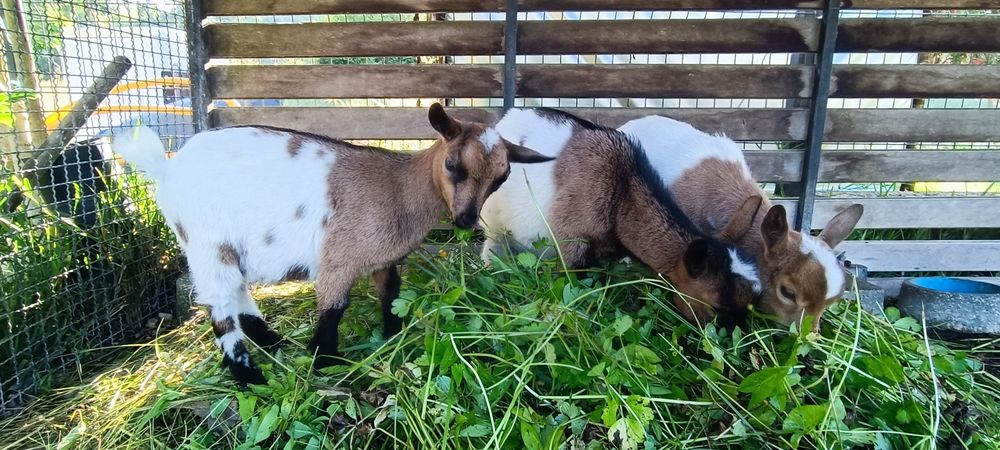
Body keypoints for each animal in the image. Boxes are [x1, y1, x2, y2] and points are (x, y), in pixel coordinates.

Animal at [112, 104, 553, 384]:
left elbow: (391, 294)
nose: (465, 220)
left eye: (501, 178)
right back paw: (249, 375)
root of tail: (166, 169)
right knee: (220, 309)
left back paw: (271, 340)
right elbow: (334, 309)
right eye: (452, 165)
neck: (398, 188)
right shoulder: (339, 256)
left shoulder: (384, 257)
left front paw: (391, 335)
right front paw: (325, 362)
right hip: (207, 242)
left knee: (236, 291)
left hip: (224, 248)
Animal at [480, 108, 764, 327]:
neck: (622, 190)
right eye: (716, 307)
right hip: (494, 223)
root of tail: (507, 119)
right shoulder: (571, 241)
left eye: (751, 302)